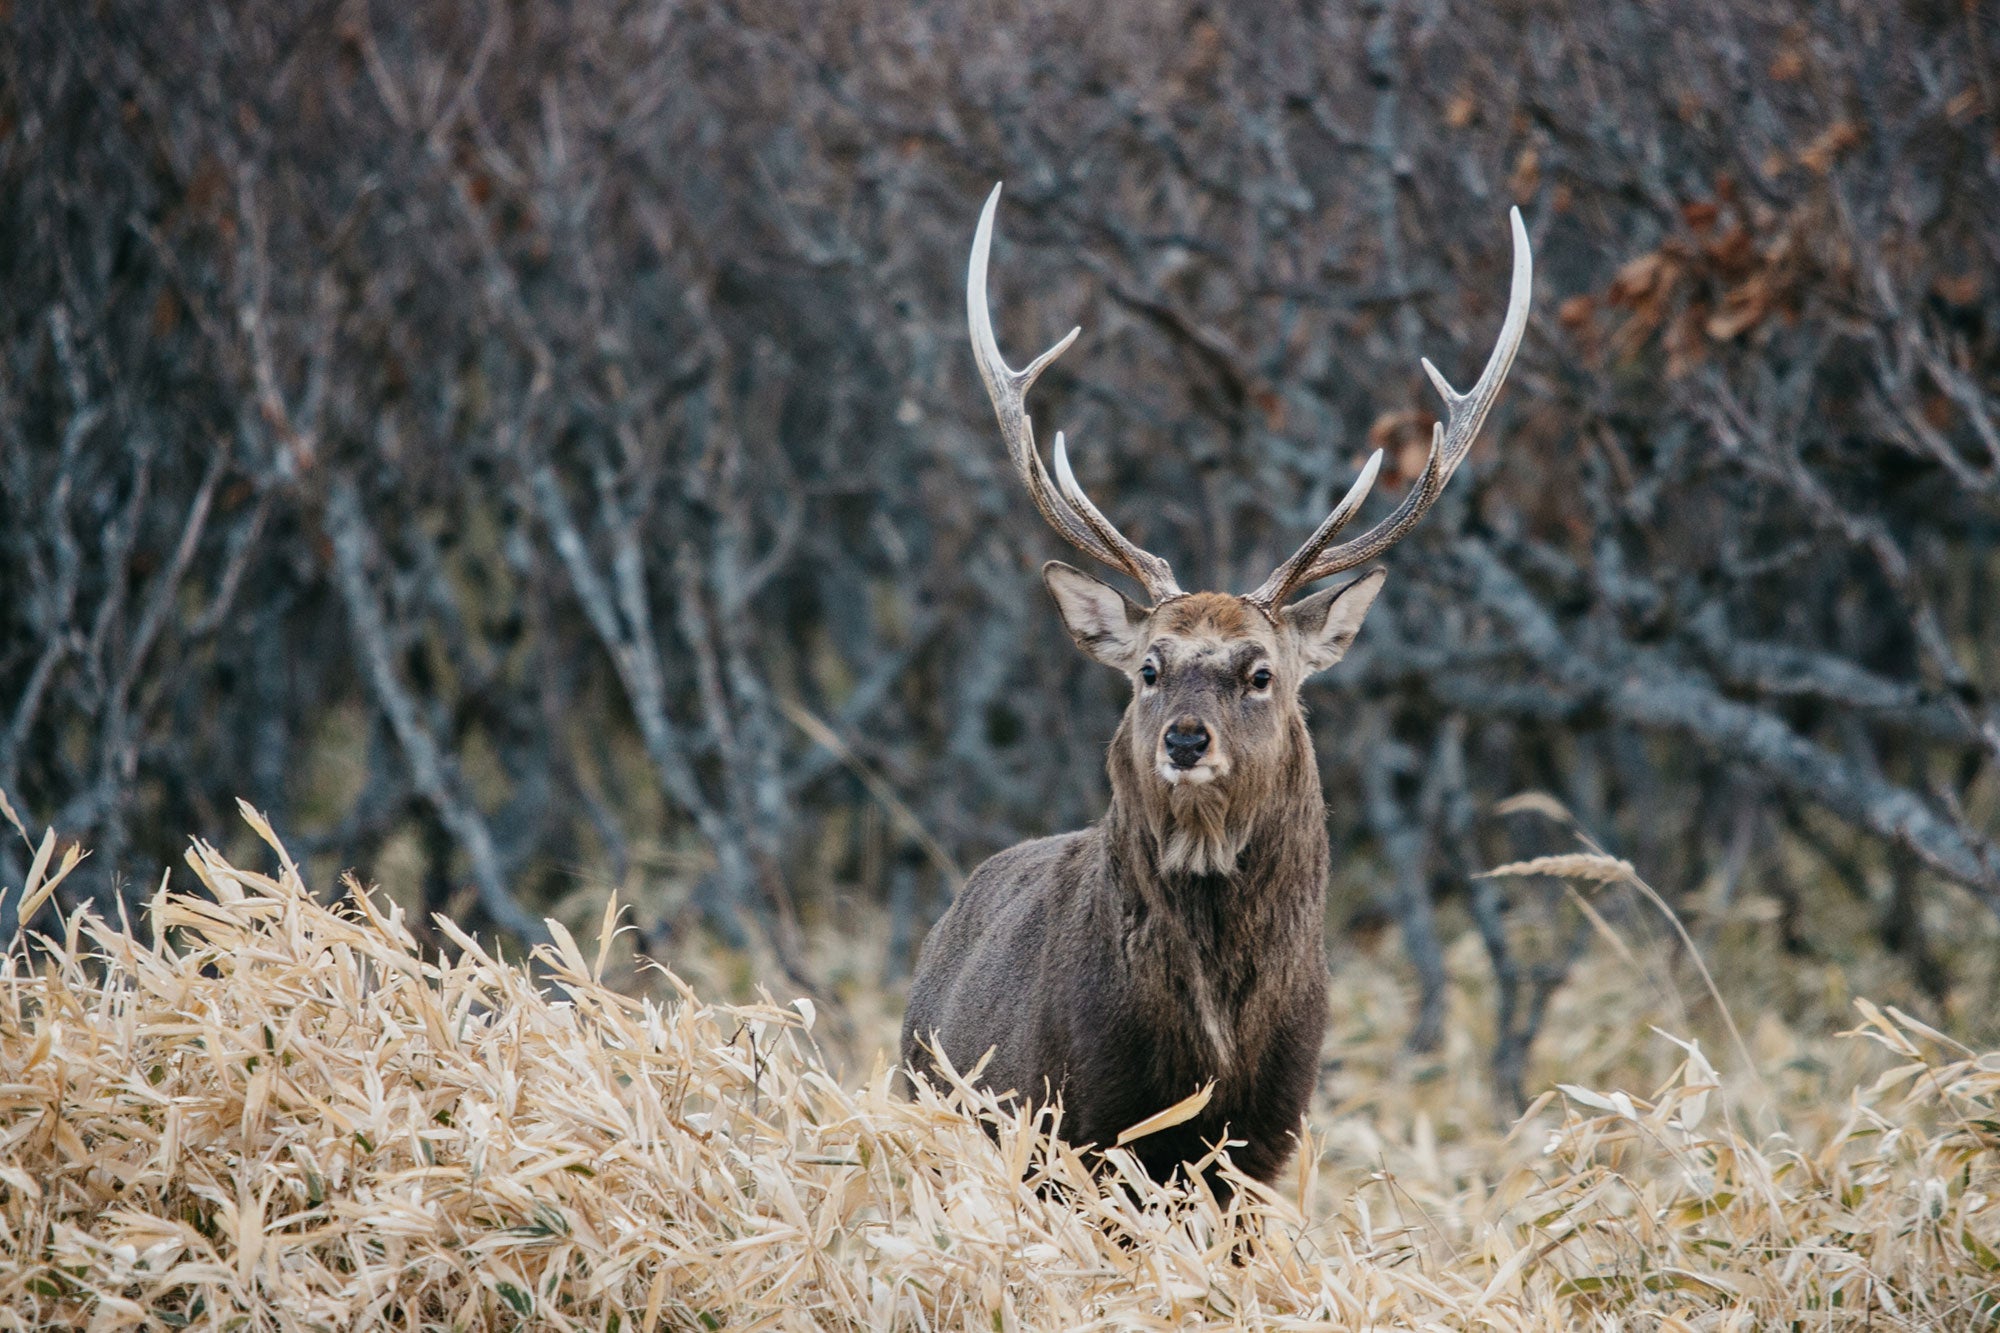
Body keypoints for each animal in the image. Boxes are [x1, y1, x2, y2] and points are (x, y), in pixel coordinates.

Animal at [901, 184, 1531, 1196]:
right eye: (1149, 668)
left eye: (1260, 671)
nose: (1187, 739)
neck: (1209, 1050)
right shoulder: (1071, 1128)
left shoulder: (1268, 1135)